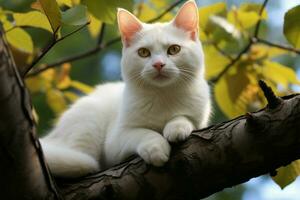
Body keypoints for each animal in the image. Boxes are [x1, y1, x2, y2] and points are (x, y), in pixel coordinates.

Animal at [40, 0, 211, 178]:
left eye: (174, 49)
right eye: (143, 52)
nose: (158, 64)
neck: (163, 95)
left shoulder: (200, 117)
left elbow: (186, 118)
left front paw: (177, 127)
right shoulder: (115, 141)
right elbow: (141, 133)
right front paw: (155, 147)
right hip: (89, 119)